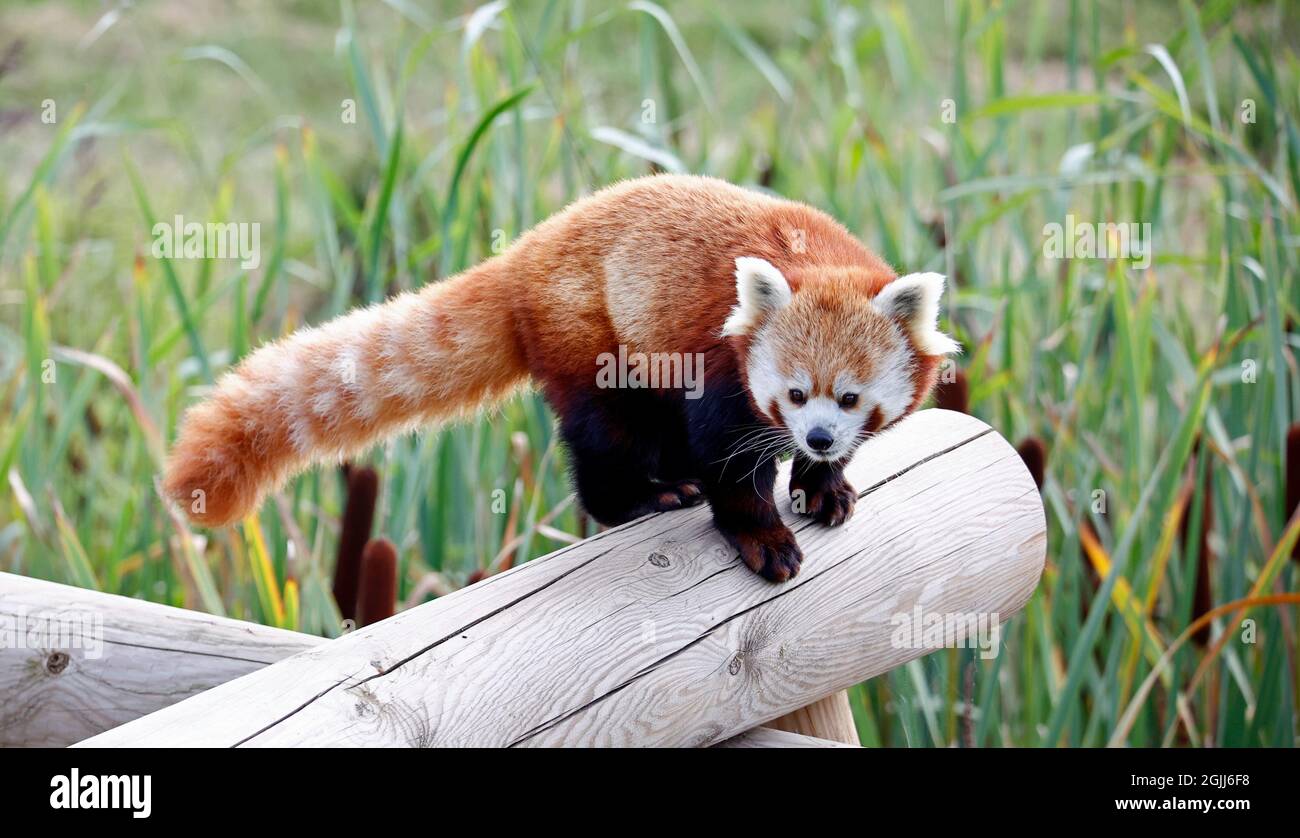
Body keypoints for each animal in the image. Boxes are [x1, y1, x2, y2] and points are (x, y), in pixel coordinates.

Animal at [162, 175, 961, 582]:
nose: (819, 437)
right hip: (590, 336)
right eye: (793, 394)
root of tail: (524, 252)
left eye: (849, 399)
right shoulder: (716, 366)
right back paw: (645, 496)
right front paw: (762, 534)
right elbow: (729, 463)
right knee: (605, 439)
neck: (813, 253)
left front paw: (825, 485)